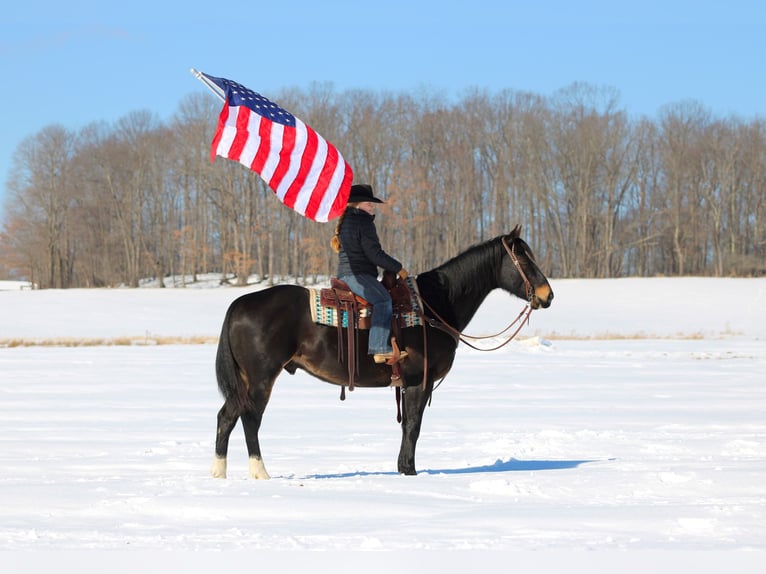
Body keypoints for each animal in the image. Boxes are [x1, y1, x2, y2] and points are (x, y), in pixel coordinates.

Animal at [211, 225, 554, 479]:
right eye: (523, 260)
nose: (547, 295)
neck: (435, 305)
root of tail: (240, 303)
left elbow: (406, 426)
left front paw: (403, 468)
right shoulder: (419, 381)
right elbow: (413, 426)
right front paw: (410, 471)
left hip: (245, 380)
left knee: (227, 416)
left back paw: (219, 473)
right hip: (261, 378)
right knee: (250, 418)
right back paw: (260, 473)